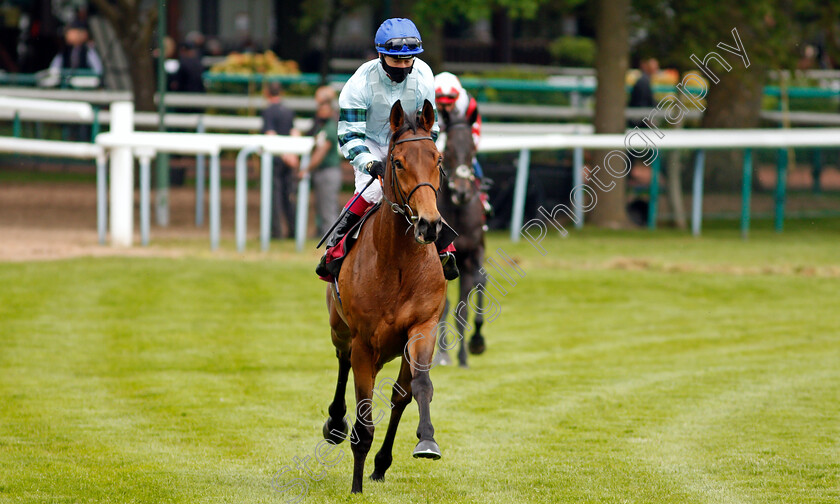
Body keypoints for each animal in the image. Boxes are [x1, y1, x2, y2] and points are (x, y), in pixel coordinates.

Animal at [324, 100, 452, 494]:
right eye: (397, 162)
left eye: (438, 159)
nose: (429, 224)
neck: (398, 264)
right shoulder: (365, 341)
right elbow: (363, 418)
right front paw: (355, 486)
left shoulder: (423, 326)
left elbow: (417, 388)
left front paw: (426, 441)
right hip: (340, 329)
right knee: (342, 361)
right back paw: (335, 424)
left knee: (399, 394)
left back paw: (381, 464)